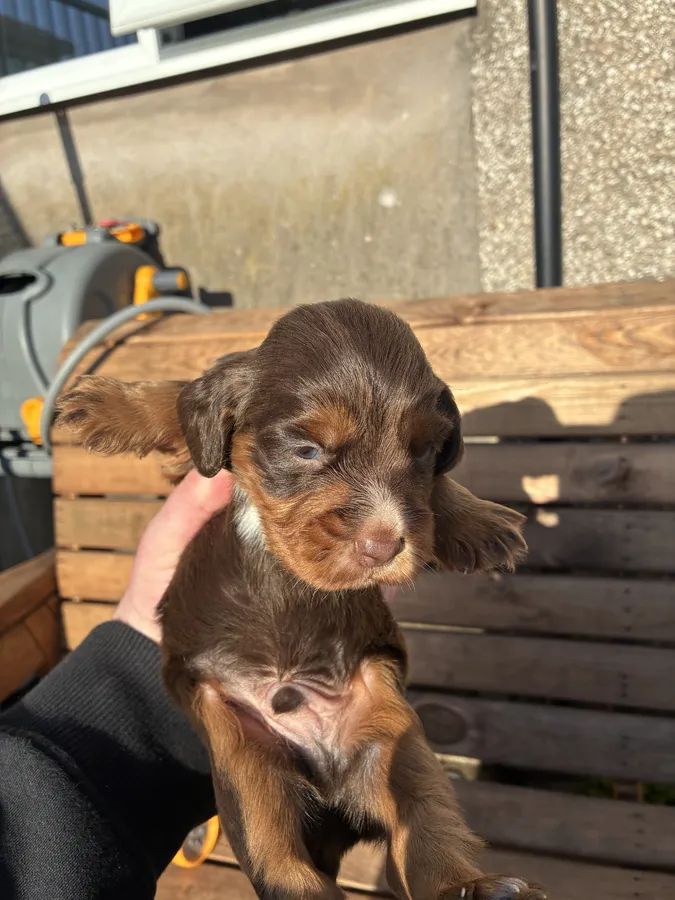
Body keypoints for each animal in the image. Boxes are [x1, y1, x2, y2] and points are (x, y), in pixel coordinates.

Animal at [58, 299, 545, 900]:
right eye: (308, 450)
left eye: (424, 451)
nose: (383, 544)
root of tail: (331, 783)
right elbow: (179, 399)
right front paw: (108, 404)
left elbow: (436, 491)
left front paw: (478, 523)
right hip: (244, 766)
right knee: (281, 862)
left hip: (397, 740)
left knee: (425, 831)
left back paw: (480, 887)